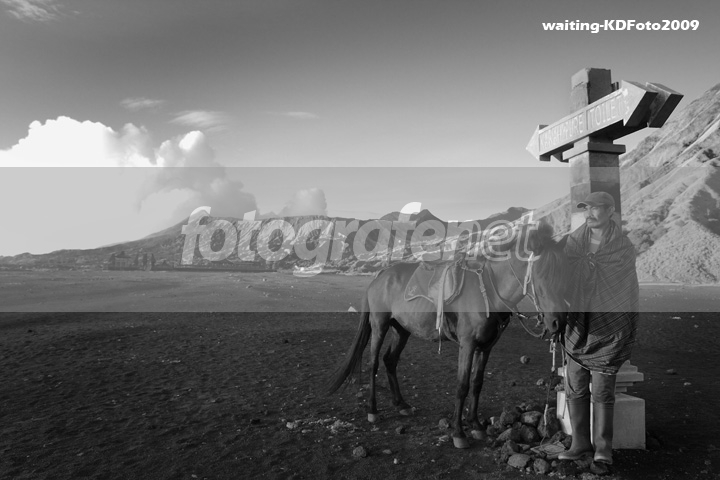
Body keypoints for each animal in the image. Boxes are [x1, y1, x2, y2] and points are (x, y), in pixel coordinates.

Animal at [326, 223, 568, 448]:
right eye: (541, 276)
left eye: (563, 275)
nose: (558, 322)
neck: (489, 291)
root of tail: (380, 276)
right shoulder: (467, 344)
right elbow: (462, 385)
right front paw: (459, 433)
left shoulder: (486, 347)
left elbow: (477, 383)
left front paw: (476, 425)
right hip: (380, 325)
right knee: (374, 363)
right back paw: (373, 409)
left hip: (402, 329)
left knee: (390, 361)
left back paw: (401, 404)